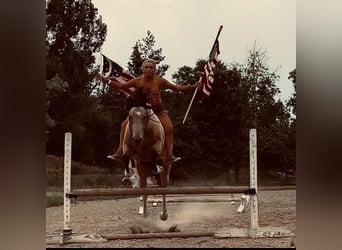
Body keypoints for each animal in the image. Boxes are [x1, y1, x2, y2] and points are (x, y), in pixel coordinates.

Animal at [122, 88, 172, 221]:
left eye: (145, 117)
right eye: (130, 117)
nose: (137, 138)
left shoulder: (158, 145)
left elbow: (155, 152)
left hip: (166, 171)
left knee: (164, 189)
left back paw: (164, 215)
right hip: (144, 173)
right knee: (145, 191)